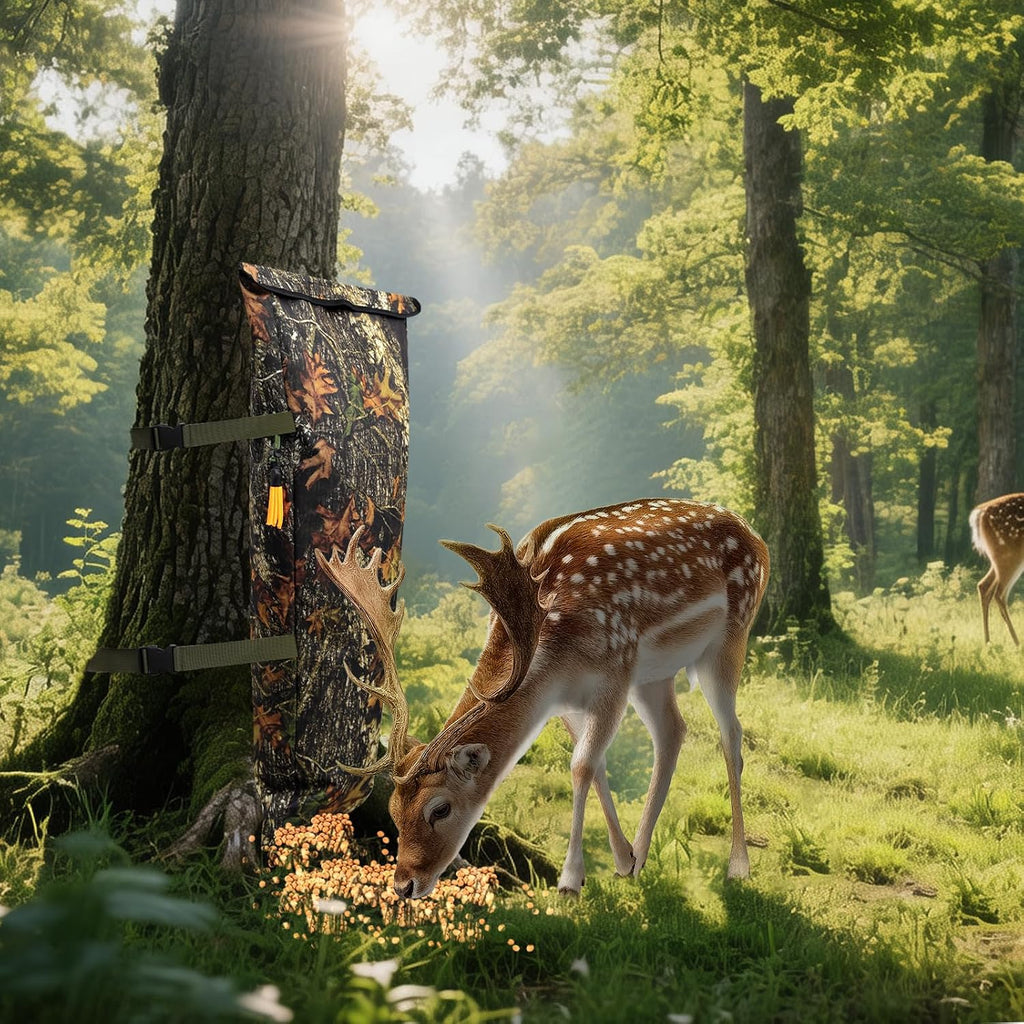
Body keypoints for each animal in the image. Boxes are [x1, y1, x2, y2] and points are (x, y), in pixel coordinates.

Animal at [314, 498, 770, 900]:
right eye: (392, 809)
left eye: (440, 808)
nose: (404, 885)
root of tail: (757, 537)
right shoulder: (564, 701)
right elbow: (597, 766)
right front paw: (622, 859)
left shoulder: (615, 671)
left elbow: (581, 766)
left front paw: (570, 880)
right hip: (654, 674)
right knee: (673, 732)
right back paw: (641, 857)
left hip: (730, 636)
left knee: (731, 736)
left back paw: (738, 866)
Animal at [970, 492, 1024, 646]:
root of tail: (979, 513)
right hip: (1010, 554)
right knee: (999, 593)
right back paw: (1017, 644)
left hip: (1000, 557)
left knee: (983, 585)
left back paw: (988, 642)